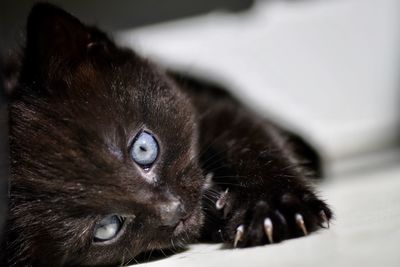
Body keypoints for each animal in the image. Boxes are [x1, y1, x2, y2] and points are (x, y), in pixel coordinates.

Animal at [0, 3, 332, 267]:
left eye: (143, 148)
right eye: (106, 228)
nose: (174, 211)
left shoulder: (209, 108)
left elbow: (251, 142)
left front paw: (274, 208)